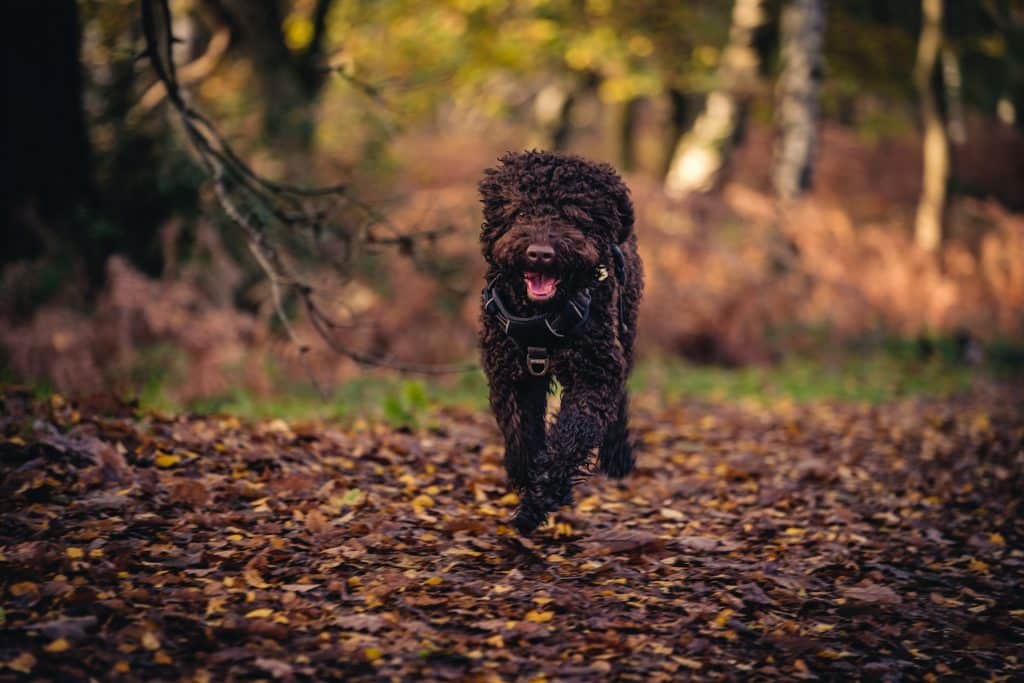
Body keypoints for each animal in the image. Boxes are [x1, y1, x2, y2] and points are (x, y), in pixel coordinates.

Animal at [477, 149, 638, 532]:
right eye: (520, 212)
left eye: (572, 214)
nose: (540, 253)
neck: (542, 318)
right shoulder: (511, 376)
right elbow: (520, 433)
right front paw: (524, 474)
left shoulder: (594, 376)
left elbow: (570, 439)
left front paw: (540, 500)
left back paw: (617, 456)